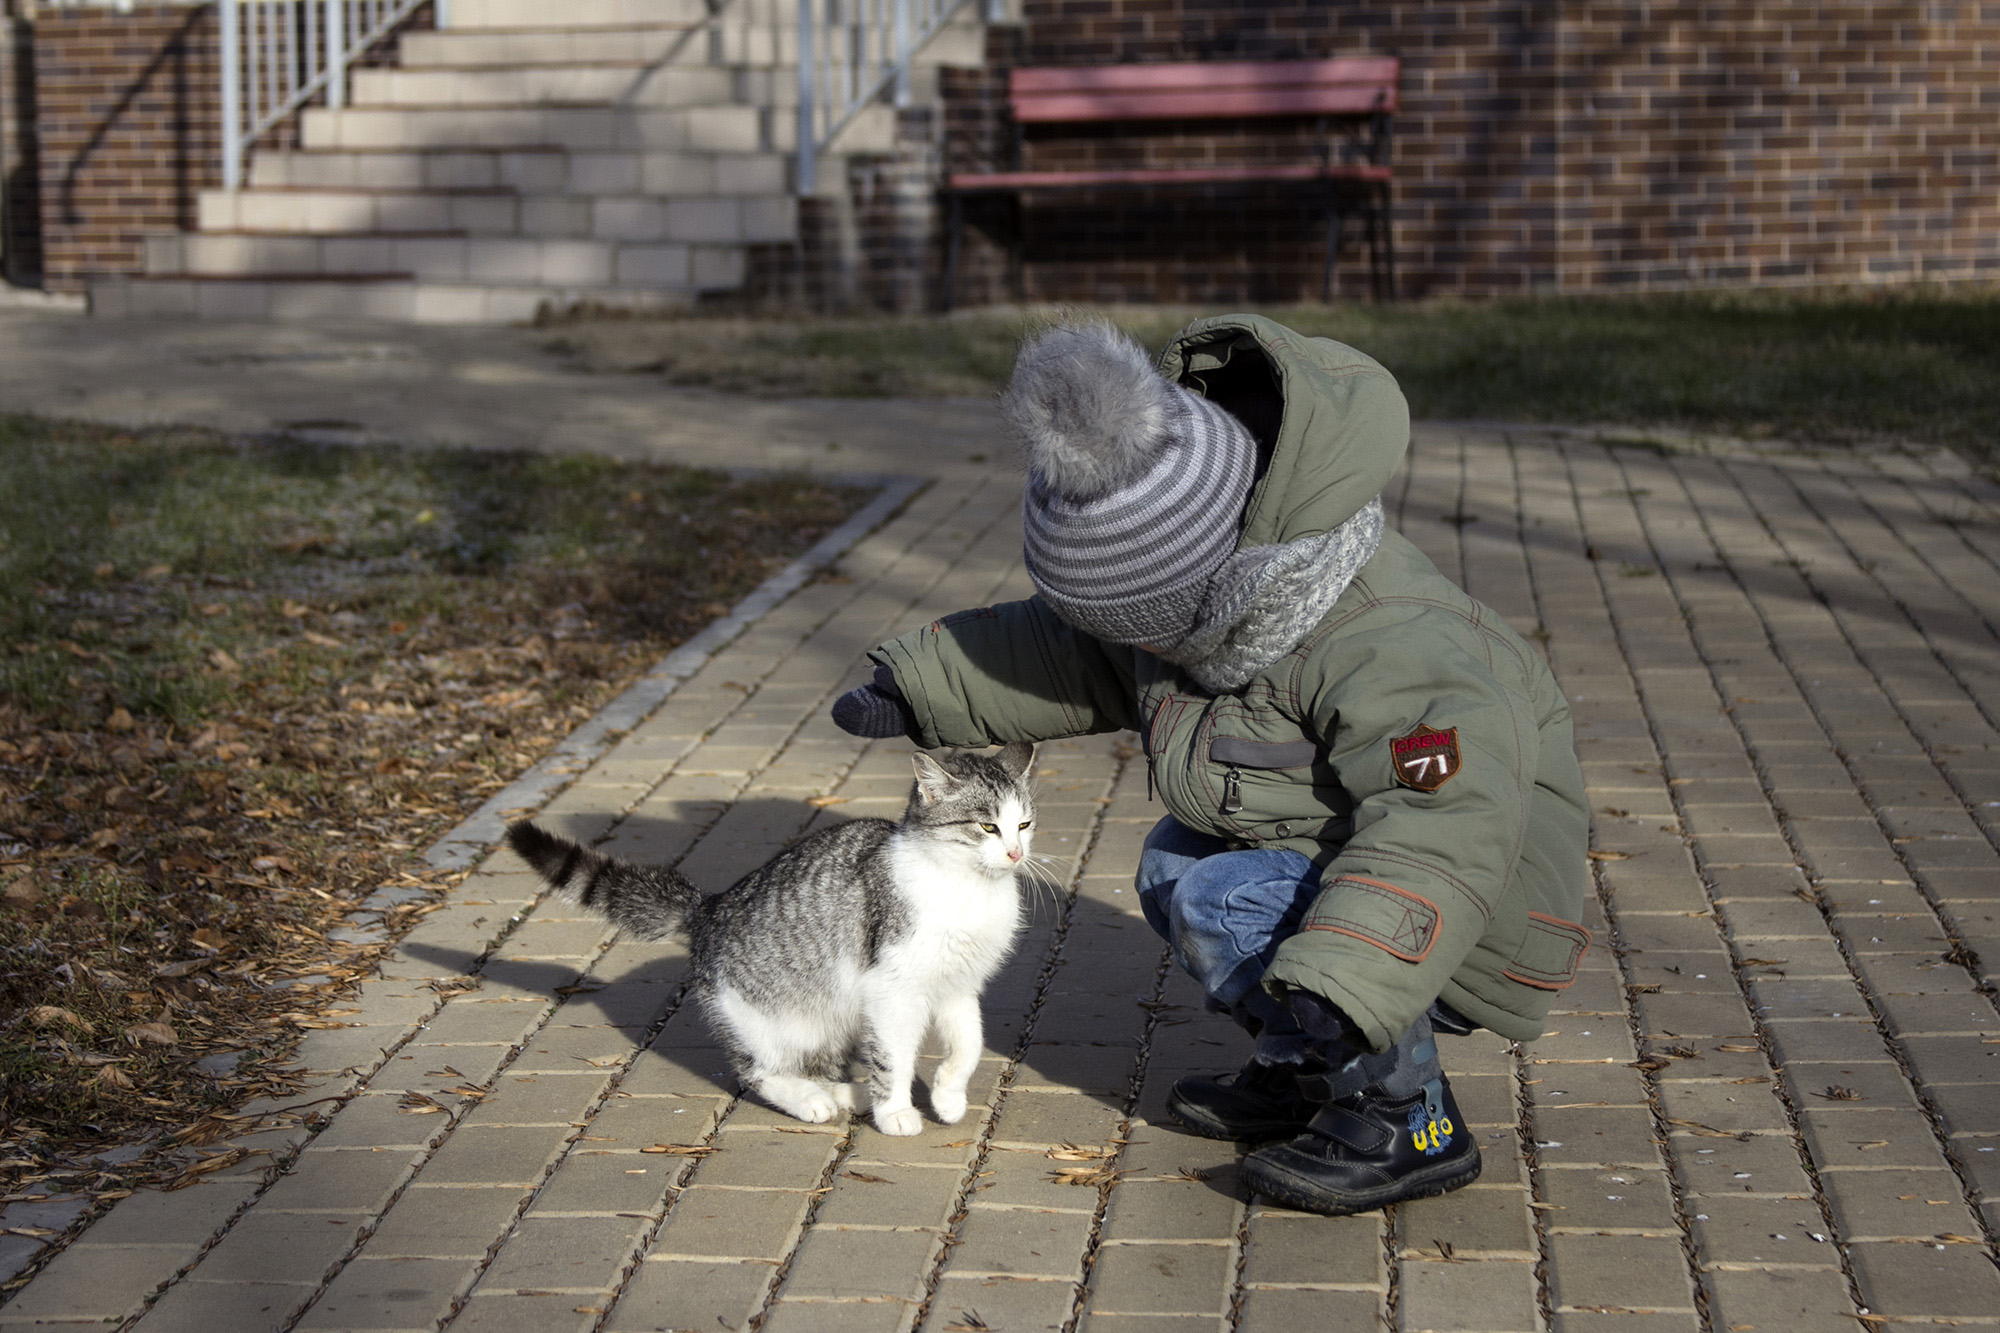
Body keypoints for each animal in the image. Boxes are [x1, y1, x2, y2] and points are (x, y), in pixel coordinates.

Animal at [500, 740, 1040, 1128]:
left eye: (1024, 824)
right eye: (987, 827)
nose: (1016, 853)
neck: (967, 887)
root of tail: (709, 907)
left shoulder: (958, 984)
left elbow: (969, 1044)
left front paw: (947, 1096)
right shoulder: (892, 989)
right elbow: (894, 1058)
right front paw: (896, 1113)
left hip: (833, 1017)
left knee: (818, 1064)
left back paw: (845, 1092)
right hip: (765, 1020)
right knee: (758, 1071)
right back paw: (811, 1101)